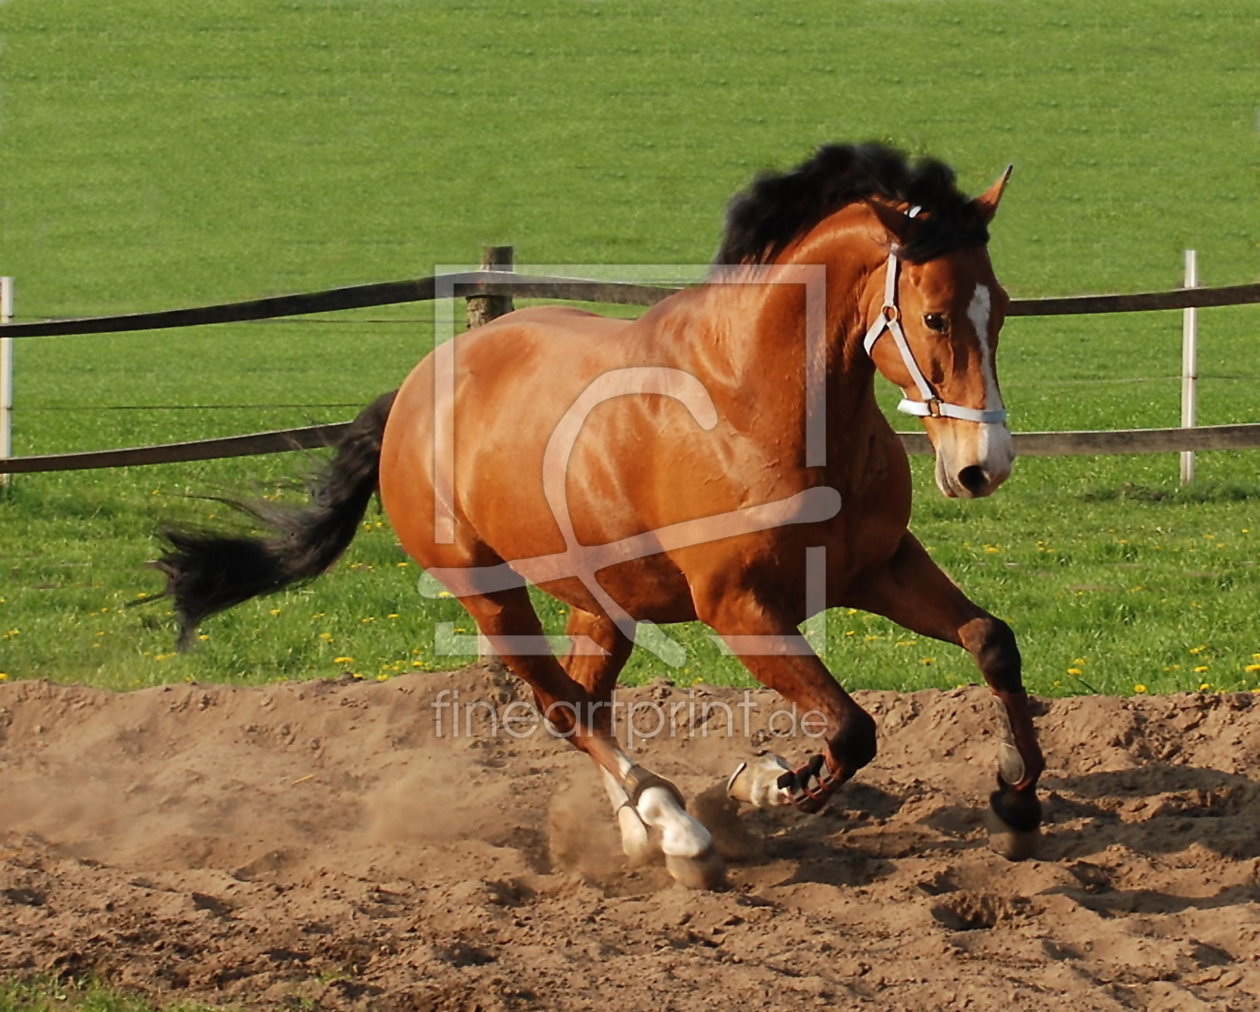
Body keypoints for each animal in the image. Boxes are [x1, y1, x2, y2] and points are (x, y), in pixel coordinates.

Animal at [157, 142, 1043, 887]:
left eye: (1000, 308)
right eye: (934, 316)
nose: (982, 467)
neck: (759, 406)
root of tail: (411, 391)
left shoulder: (877, 567)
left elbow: (990, 642)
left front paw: (1016, 803)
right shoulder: (740, 608)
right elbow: (853, 729)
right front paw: (766, 784)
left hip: (602, 601)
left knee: (587, 703)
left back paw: (641, 834)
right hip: (489, 594)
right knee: (563, 709)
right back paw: (678, 832)